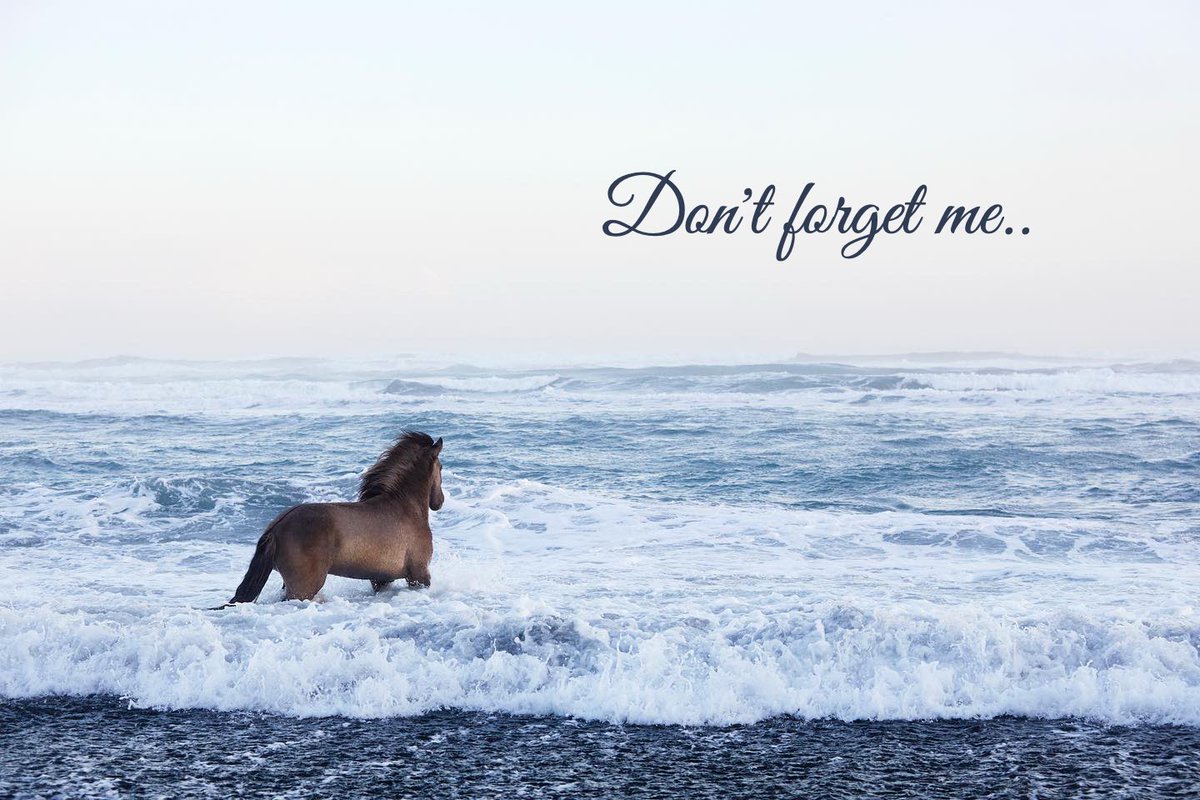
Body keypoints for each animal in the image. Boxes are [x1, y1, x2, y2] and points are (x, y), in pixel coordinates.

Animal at [223, 431, 444, 605]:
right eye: (440, 467)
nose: (439, 501)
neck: (404, 507)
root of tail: (275, 529)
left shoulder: (381, 579)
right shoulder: (418, 574)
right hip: (304, 588)